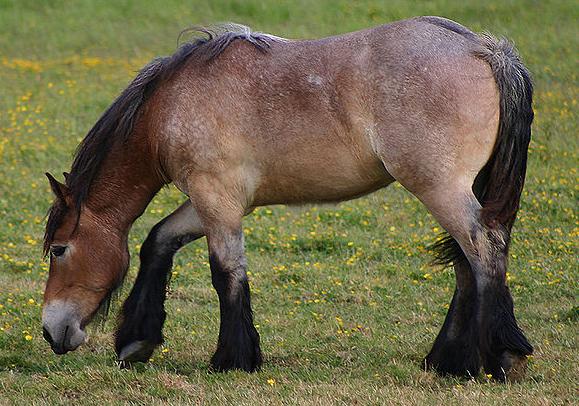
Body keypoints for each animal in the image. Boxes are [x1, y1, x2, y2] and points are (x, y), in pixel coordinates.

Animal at [42, 15, 536, 382]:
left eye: (60, 250)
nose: (50, 331)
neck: (172, 105)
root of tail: (482, 49)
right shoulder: (215, 202)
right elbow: (158, 242)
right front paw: (136, 340)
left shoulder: (216, 199)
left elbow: (226, 273)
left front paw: (233, 359)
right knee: (468, 262)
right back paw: (450, 362)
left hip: (441, 188)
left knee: (484, 250)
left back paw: (502, 356)